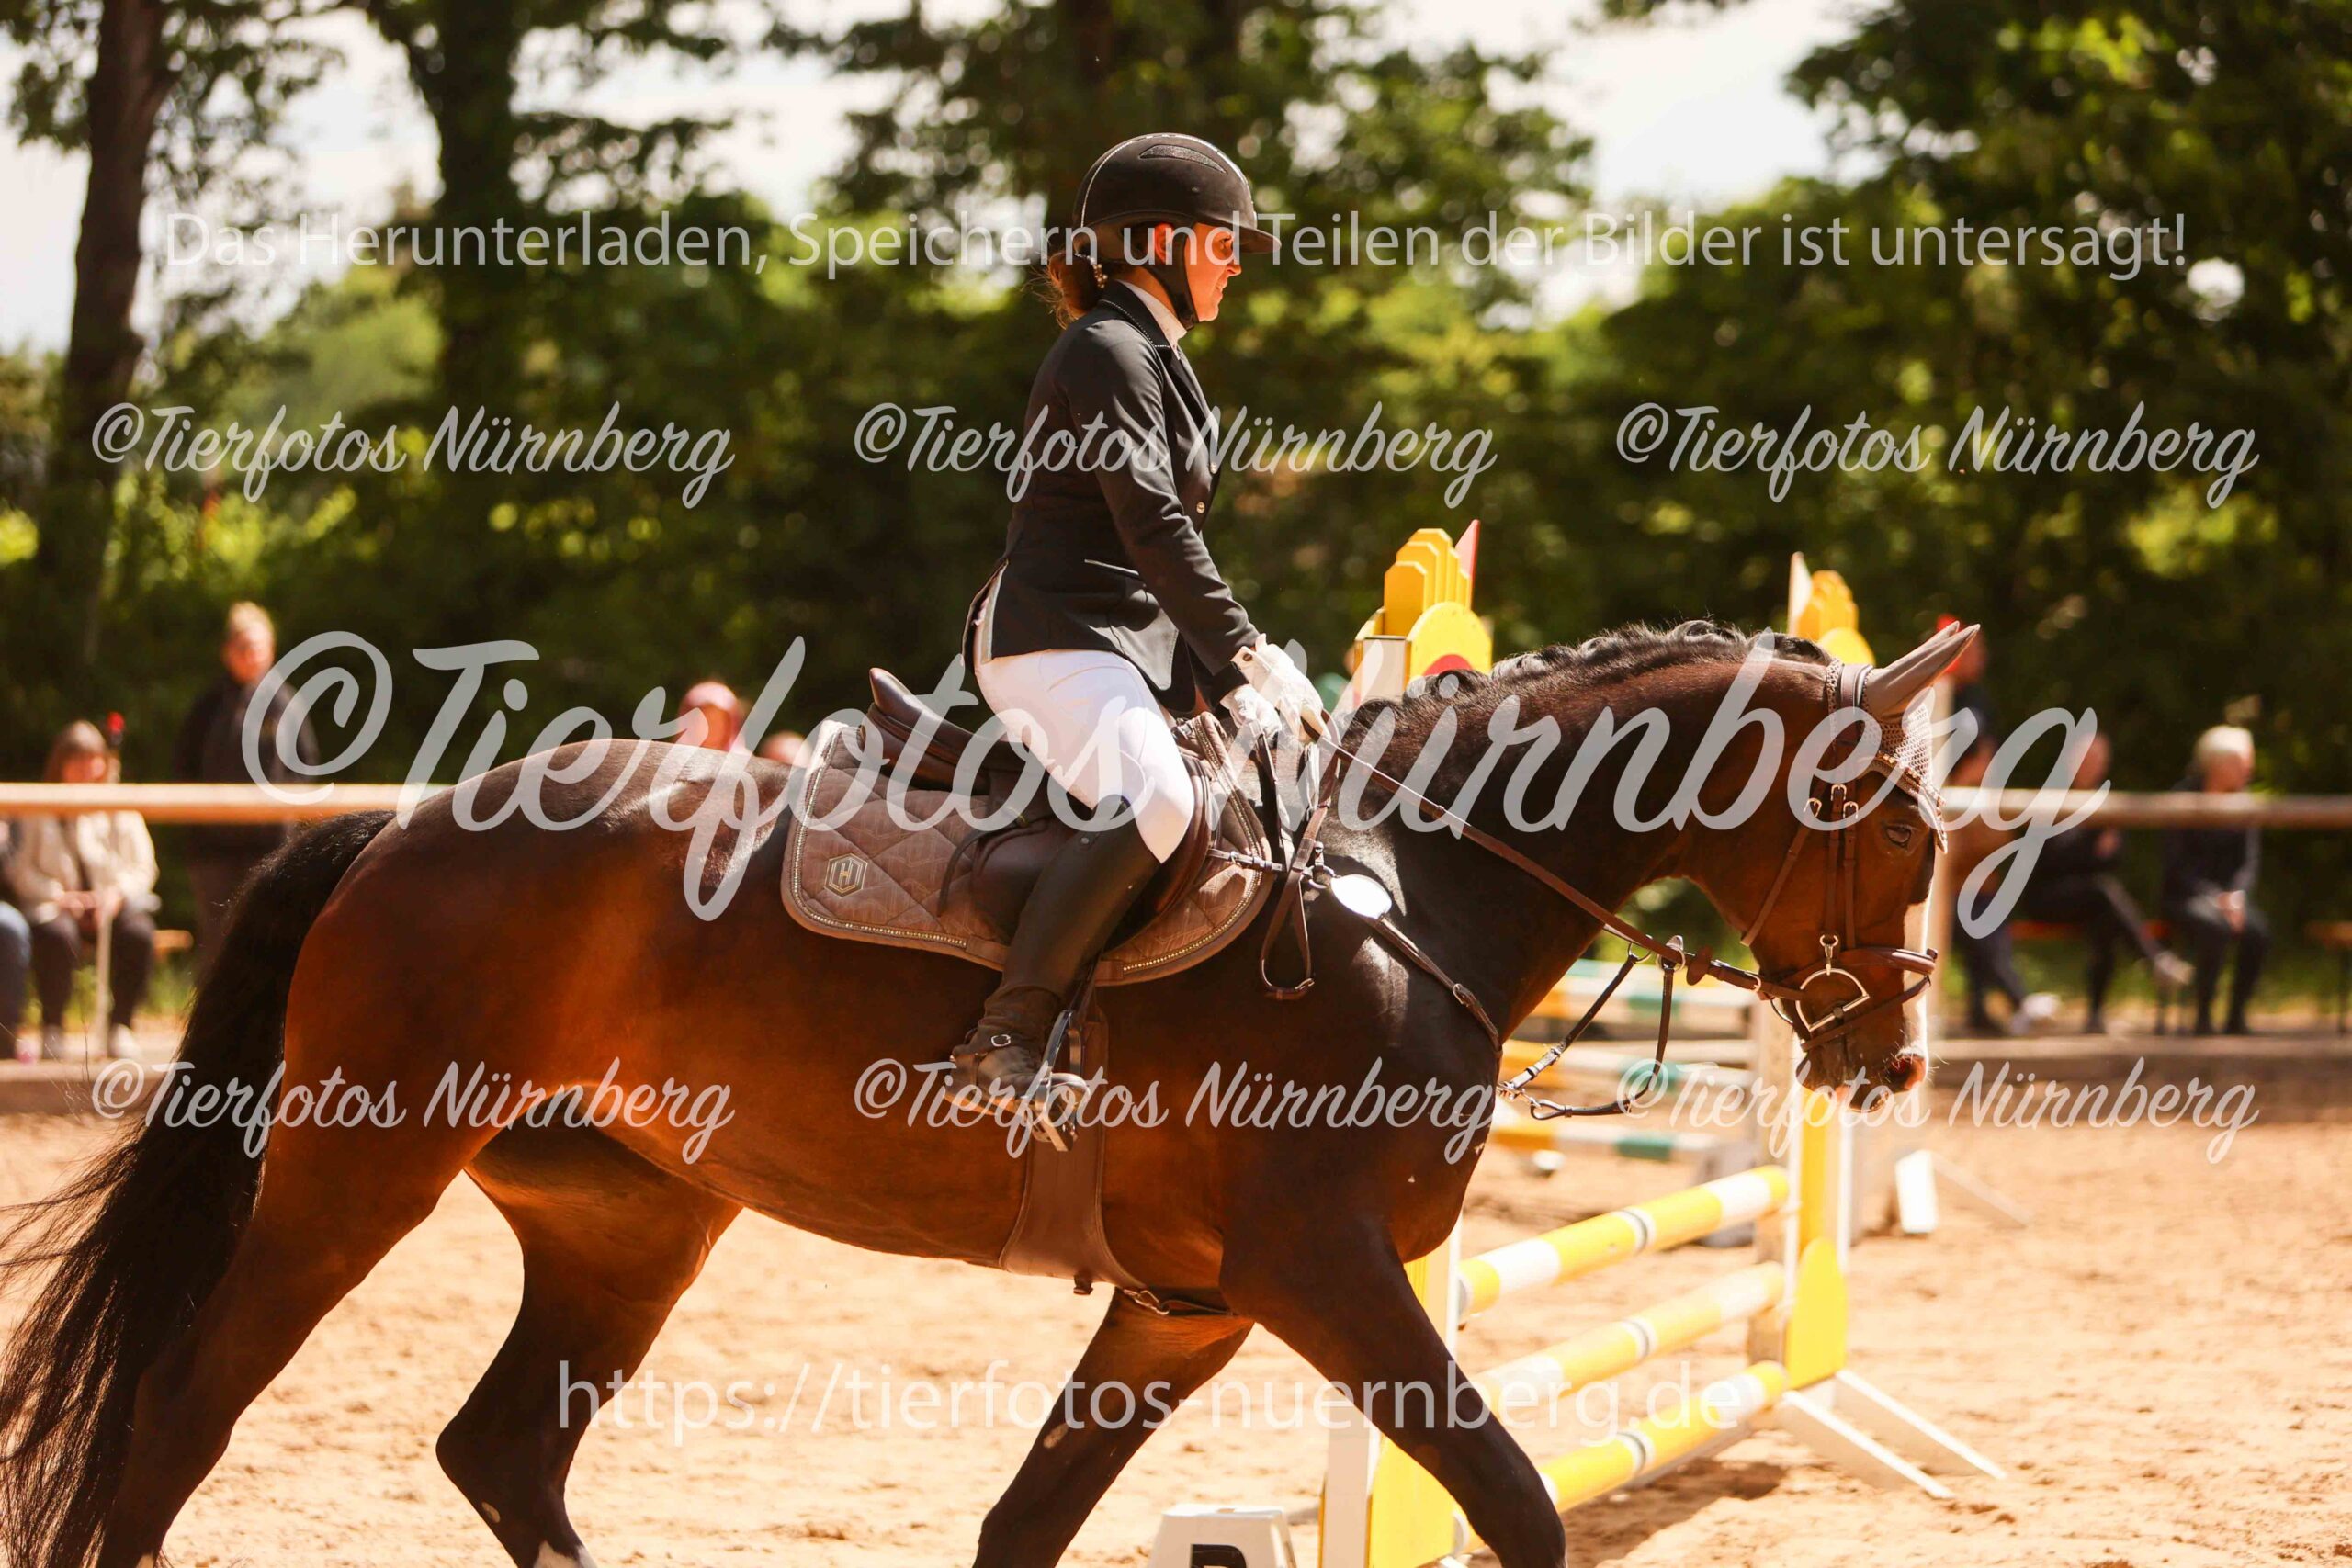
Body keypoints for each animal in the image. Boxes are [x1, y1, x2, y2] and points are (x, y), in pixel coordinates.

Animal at [0, 618, 1970, 1568]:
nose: (1888, 1057)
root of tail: (409, 820)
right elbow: (1516, 1501)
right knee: (178, 1418)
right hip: (357, 1175)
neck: (1402, 892)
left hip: (632, 1222)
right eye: (1898, 825)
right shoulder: (1327, 1276)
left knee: (503, 1453)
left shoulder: (1190, 1307)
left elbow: (1026, 1523)